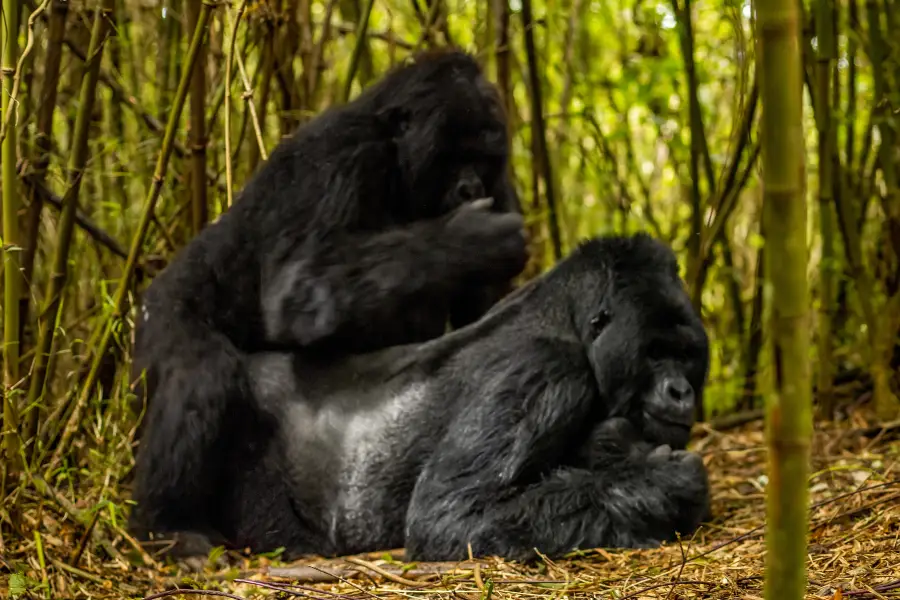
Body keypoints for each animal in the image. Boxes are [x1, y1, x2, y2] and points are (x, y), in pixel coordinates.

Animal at [130, 49, 532, 556]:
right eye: (453, 155)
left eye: (482, 157)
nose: (470, 188)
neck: (396, 159)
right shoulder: (339, 159)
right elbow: (299, 291)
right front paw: (470, 239)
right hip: (162, 314)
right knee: (203, 371)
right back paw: (168, 525)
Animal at [135, 231, 712, 564]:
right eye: (655, 353)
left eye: (686, 355)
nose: (681, 391)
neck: (567, 318)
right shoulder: (545, 371)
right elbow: (451, 516)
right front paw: (669, 485)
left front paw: (620, 453)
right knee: (209, 379)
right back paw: (174, 531)